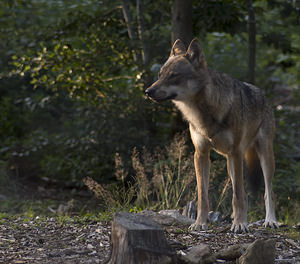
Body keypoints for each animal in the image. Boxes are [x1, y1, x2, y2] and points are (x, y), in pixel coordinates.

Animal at [144, 38, 278, 232]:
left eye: (173, 76)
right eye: (160, 75)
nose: (148, 91)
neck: (203, 112)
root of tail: (264, 95)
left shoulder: (236, 152)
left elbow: (237, 196)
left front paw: (239, 225)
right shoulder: (201, 154)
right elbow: (203, 196)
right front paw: (200, 223)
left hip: (263, 157)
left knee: (268, 192)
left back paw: (270, 221)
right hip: (231, 163)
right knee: (244, 193)